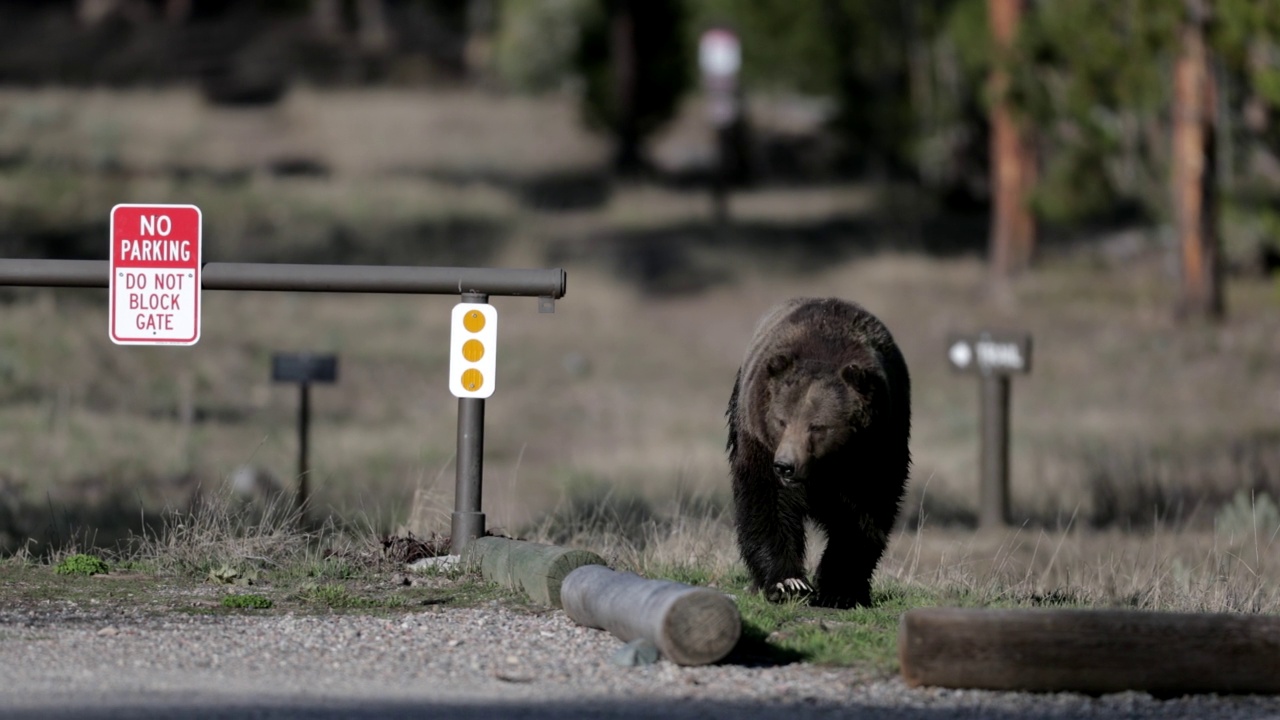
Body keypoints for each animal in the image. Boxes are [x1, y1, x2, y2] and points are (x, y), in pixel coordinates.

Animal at [732, 295, 911, 604]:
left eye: (817, 426)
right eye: (781, 420)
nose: (785, 465)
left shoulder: (879, 445)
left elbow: (863, 517)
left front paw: (840, 589)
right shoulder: (759, 441)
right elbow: (766, 502)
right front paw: (788, 583)